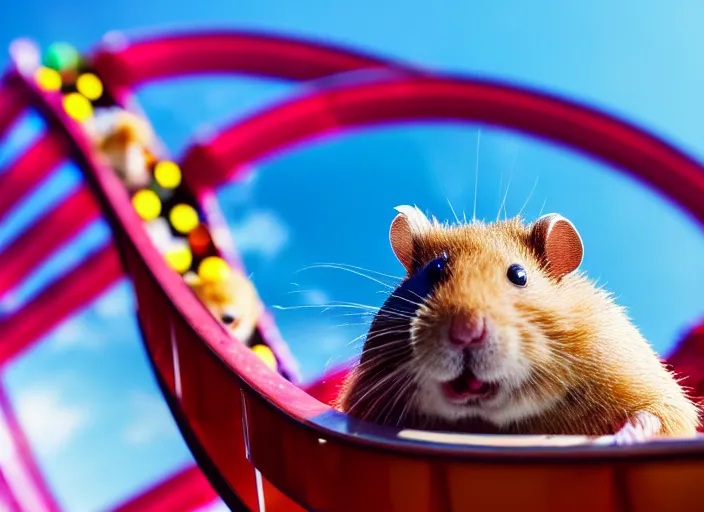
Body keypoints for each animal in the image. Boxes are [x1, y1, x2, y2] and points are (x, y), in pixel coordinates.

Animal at [338, 205, 700, 444]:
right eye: (434, 271)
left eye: (518, 275)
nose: (466, 332)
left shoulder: (651, 387)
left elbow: (655, 416)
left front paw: (616, 439)